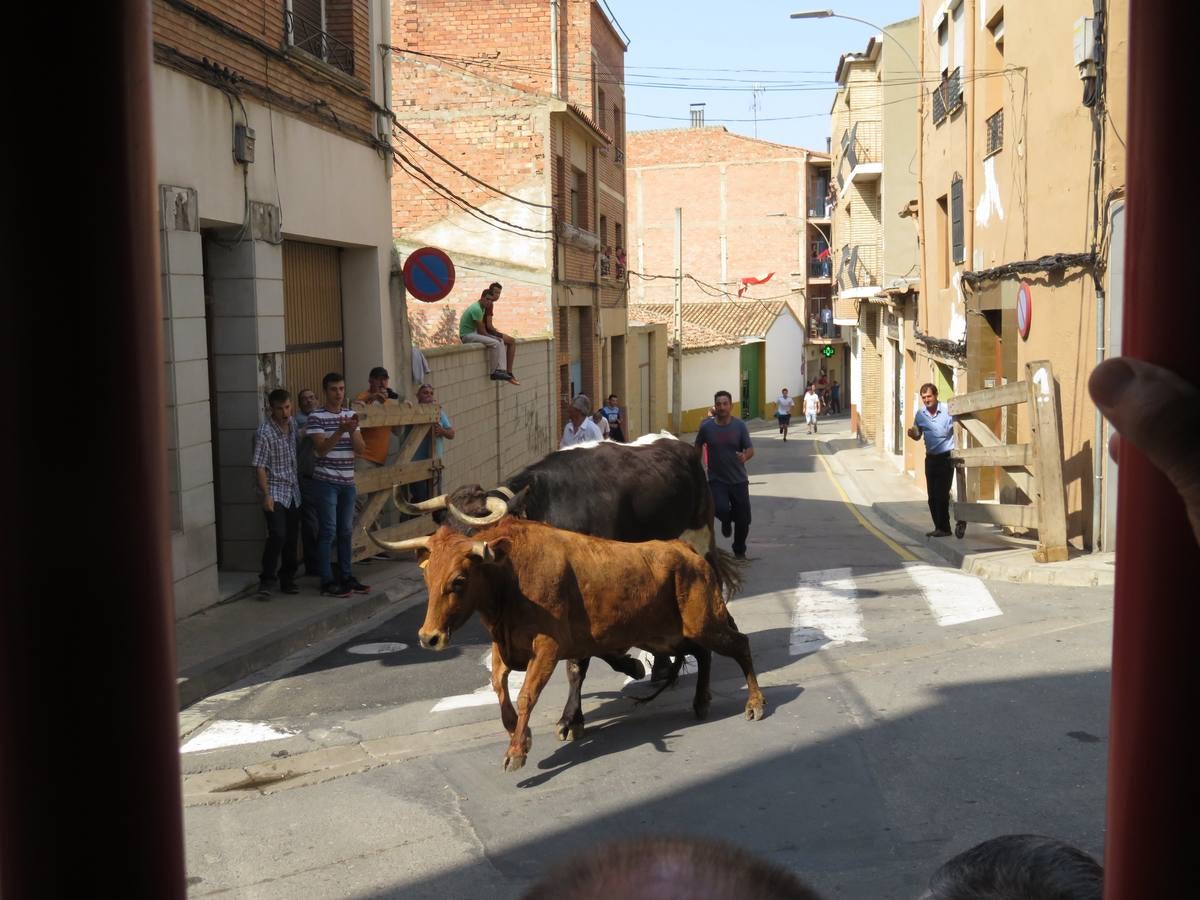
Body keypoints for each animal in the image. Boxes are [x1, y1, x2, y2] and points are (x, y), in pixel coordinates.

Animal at [379, 520, 763, 777]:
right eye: (427, 577)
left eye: (458, 581)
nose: (429, 637)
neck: (509, 577)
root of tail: (687, 551)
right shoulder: (506, 646)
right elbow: (500, 688)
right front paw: (521, 733)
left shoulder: (547, 647)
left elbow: (526, 695)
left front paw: (517, 751)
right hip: (671, 633)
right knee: (702, 653)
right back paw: (700, 701)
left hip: (703, 622)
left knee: (739, 644)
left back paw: (754, 704)